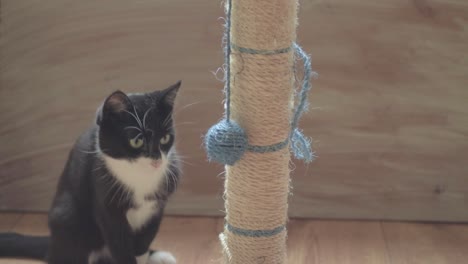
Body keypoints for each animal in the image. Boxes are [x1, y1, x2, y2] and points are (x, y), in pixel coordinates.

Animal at [0, 81, 183, 264]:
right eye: (137, 141)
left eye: (165, 138)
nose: (157, 160)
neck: (140, 177)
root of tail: (52, 244)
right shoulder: (105, 204)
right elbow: (120, 245)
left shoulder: (156, 208)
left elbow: (144, 242)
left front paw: (145, 255)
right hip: (69, 219)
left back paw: (160, 256)